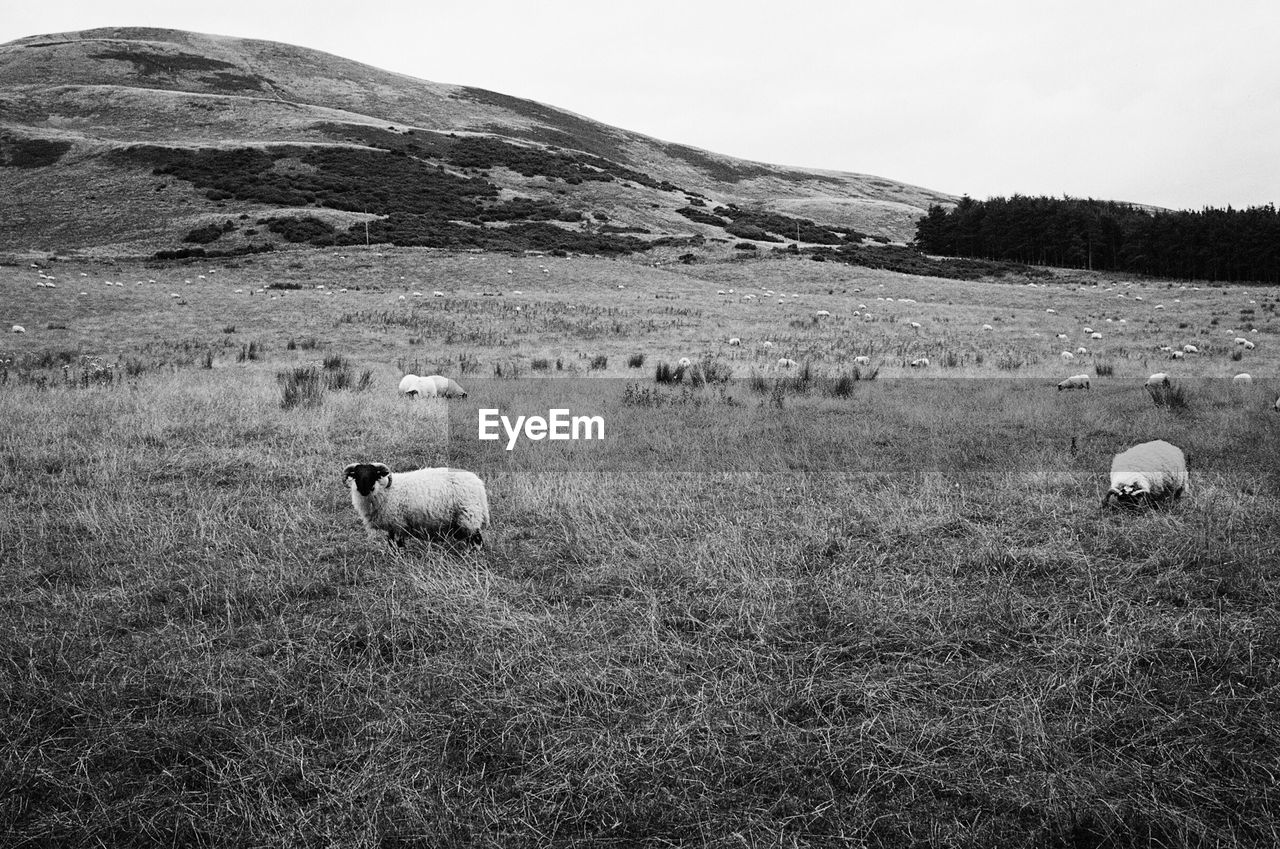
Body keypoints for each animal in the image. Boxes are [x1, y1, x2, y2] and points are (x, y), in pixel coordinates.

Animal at [343, 460, 486, 548]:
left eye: (374, 475)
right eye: (356, 475)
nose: (364, 490)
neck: (386, 491)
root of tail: (478, 483)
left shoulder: (399, 523)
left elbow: (398, 544)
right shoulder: (391, 525)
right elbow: (390, 542)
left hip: (469, 515)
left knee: (476, 538)